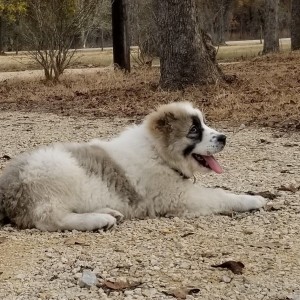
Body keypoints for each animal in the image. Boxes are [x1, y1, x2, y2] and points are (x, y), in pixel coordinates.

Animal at [0, 102, 266, 231]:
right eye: (194, 130)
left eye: (205, 123)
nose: (223, 138)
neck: (157, 152)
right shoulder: (178, 197)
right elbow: (220, 195)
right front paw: (253, 199)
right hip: (58, 171)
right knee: (50, 219)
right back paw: (98, 220)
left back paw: (109, 212)